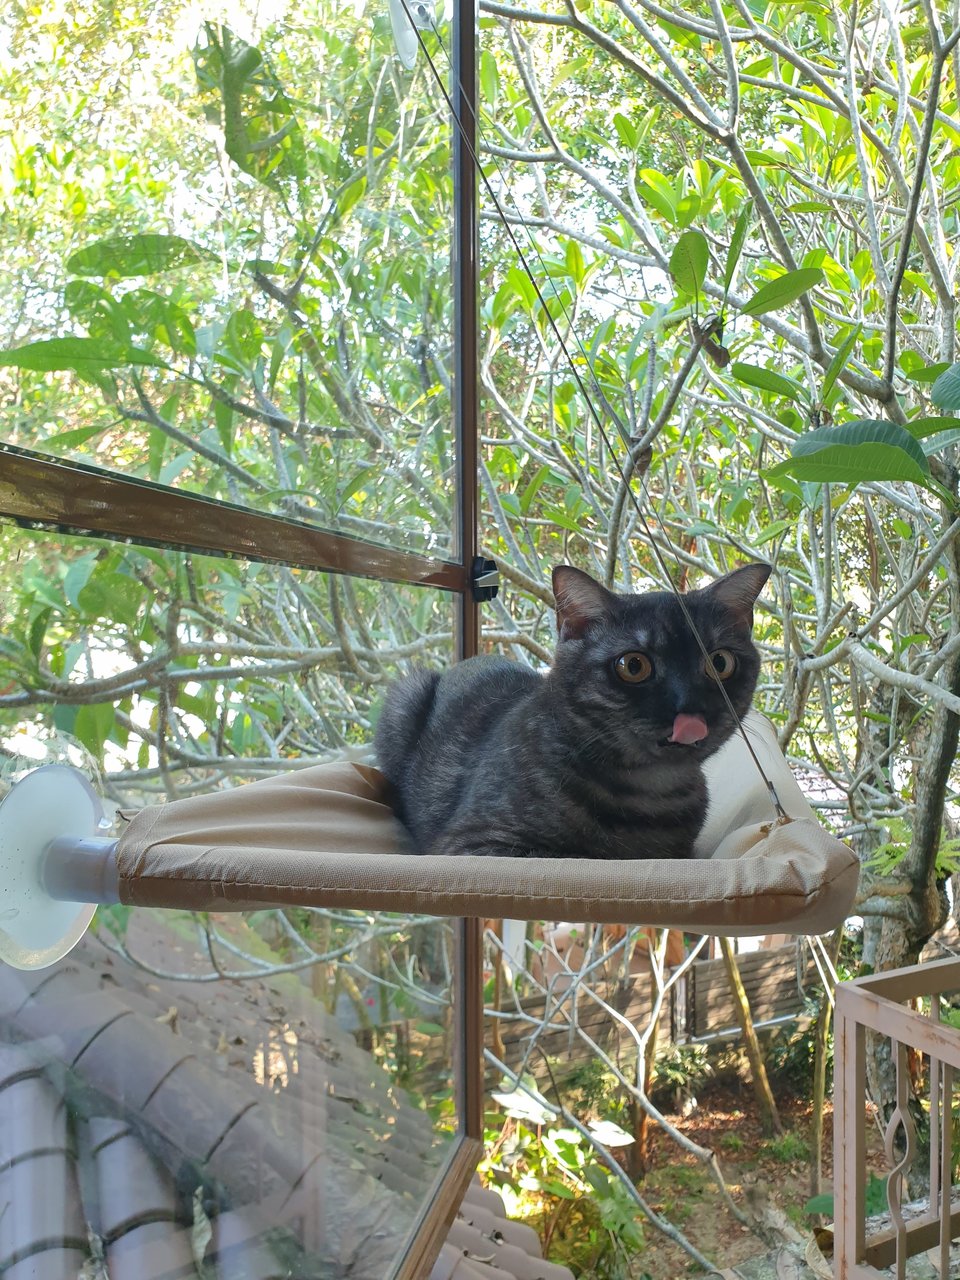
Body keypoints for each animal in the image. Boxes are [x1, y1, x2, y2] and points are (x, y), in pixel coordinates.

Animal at [371, 563, 773, 855]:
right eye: (633, 666)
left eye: (720, 663)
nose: (689, 706)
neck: (648, 791)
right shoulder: (475, 844)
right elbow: (576, 853)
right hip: (406, 695)